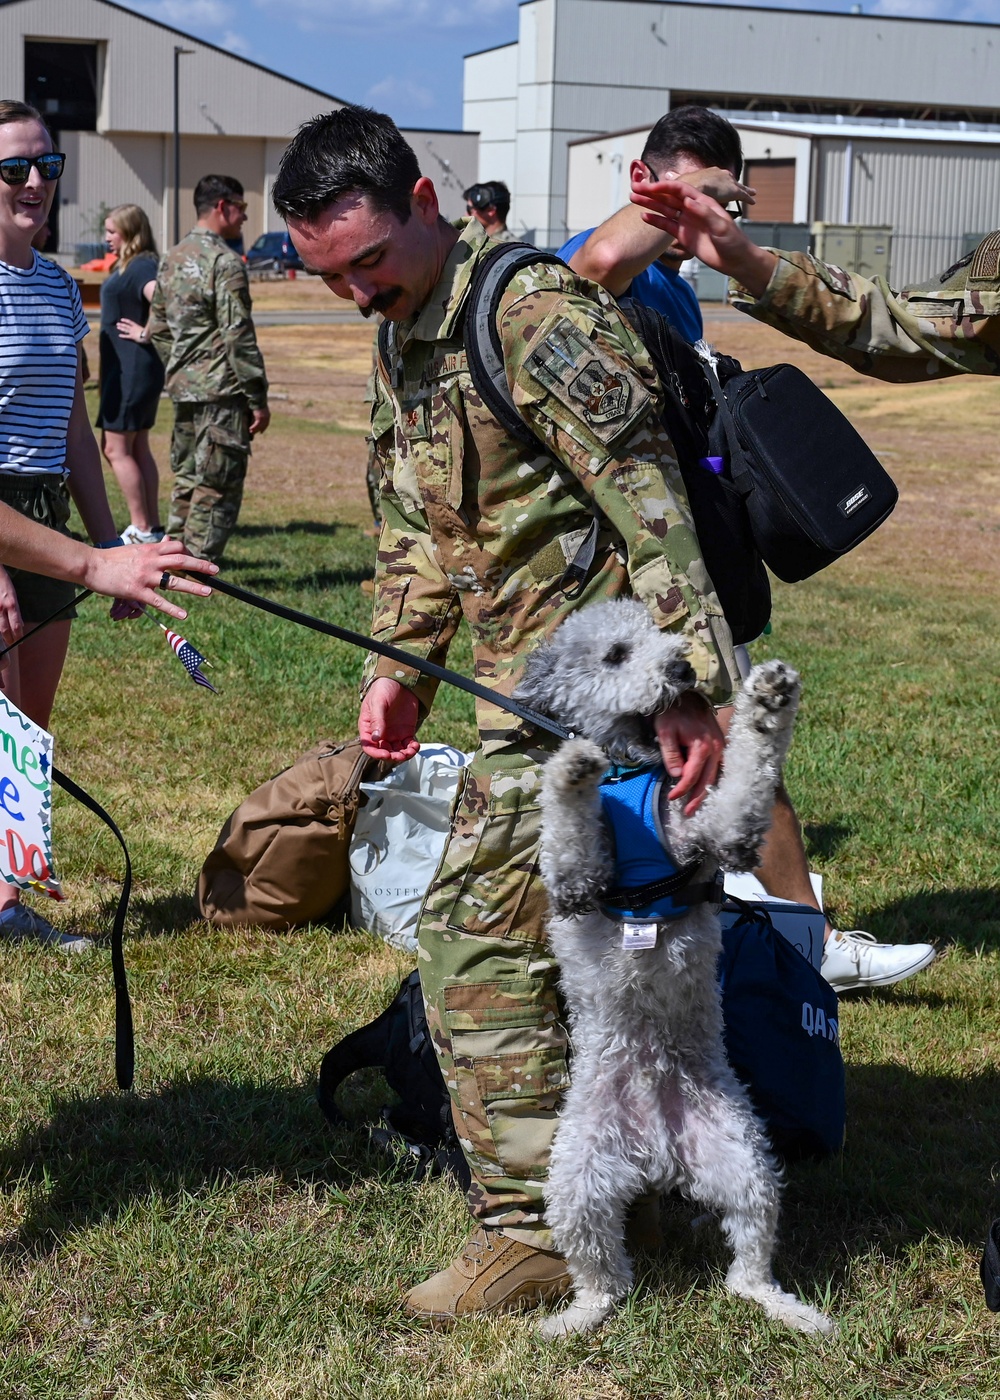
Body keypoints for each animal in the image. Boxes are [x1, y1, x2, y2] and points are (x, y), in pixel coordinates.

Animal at [509, 596, 829, 1338]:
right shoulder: (574, 883)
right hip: (576, 1179)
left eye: (661, 633)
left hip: (746, 1161)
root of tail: (657, 1156)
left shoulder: (720, 837)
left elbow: (746, 774)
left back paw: (791, 1310)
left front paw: (769, 701)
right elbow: (568, 827)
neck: (632, 774)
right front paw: (569, 768)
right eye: (615, 654)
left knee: (747, 1267)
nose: (683, 669)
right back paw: (574, 1320)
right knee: (606, 1280)